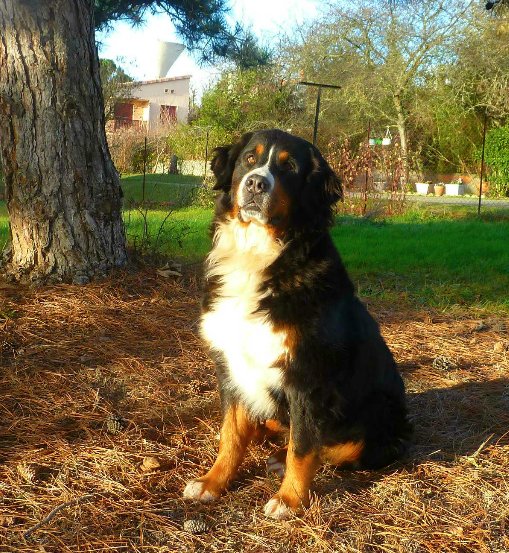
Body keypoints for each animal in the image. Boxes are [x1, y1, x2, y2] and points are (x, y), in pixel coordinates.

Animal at [181, 128, 410, 516]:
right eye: (249, 159)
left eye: (288, 168)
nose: (256, 183)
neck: (258, 257)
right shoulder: (231, 366)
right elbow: (231, 434)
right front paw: (213, 482)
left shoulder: (306, 376)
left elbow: (303, 448)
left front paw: (289, 499)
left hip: (381, 410)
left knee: (341, 446)